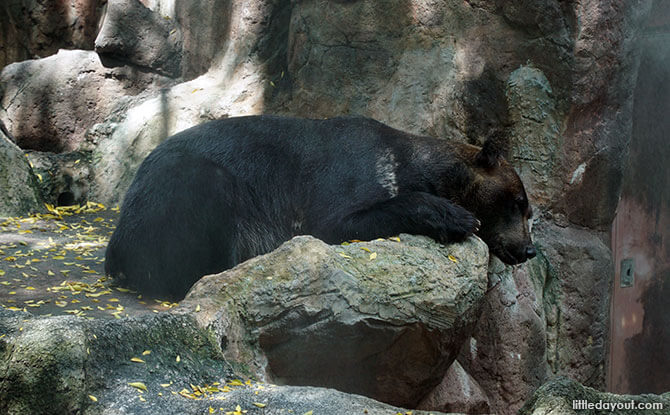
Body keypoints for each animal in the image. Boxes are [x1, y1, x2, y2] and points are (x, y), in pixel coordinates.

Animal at [105, 115, 540, 300]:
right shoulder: (347, 170)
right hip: (181, 189)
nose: (528, 249)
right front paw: (457, 217)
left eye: (527, 210)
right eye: (518, 203)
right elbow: (337, 220)